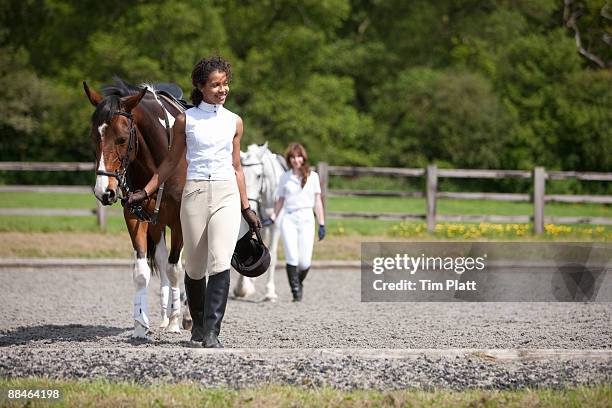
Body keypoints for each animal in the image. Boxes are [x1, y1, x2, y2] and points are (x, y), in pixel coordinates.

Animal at [82, 78, 190, 340]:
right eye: (93, 137)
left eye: (122, 139)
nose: (104, 191)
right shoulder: (135, 217)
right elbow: (142, 272)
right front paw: (141, 325)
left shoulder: (180, 223)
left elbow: (175, 269)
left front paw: (175, 322)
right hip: (157, 226)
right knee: (161, 261)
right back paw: (164, 318)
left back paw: (182, 317)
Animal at [234, 143, 286, 300]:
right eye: (243, 175)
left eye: (259, 176)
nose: (250, 205)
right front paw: (241, 288)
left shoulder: (275, 226)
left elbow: (273, 256)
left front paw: (270, 292)